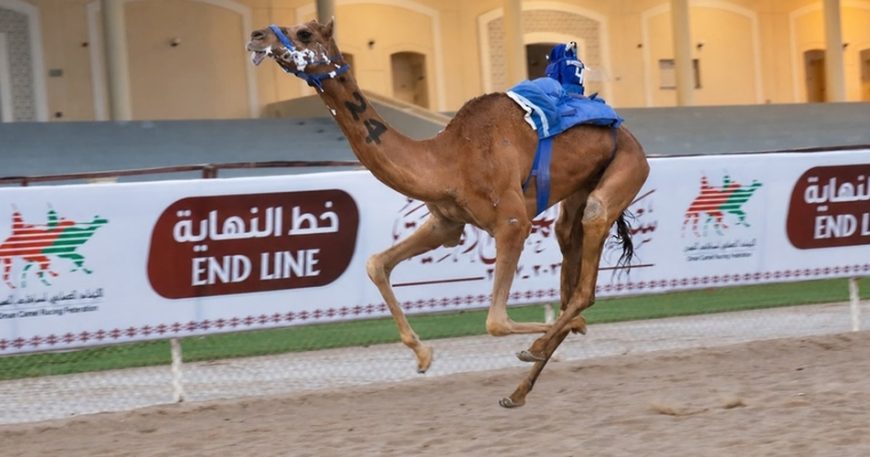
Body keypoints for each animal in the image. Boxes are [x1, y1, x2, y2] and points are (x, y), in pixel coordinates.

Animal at [247, 19, 649, 407]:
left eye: (304, 33)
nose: (256, 35)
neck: (447, 160)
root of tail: (627, 132)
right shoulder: (446, 222)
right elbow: (376, 264)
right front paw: (423, 355)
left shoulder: (512, 222)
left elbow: (496, 321)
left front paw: (563, 332)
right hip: (579, 193)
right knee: (569, 255)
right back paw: (518, 392)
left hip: (626, 168)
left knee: (587, 266)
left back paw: (547, 342)